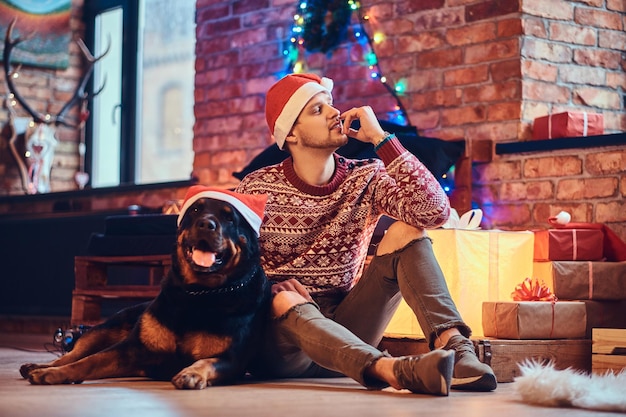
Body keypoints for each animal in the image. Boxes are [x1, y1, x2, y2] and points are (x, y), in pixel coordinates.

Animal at [18, 187, 268, 388]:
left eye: (230, 219)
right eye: (196, 210)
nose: (206, 223)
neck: (199, 293)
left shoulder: (231, 360)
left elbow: (207, 361)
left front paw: (192, 373)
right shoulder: (130, 348)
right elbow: (88, 361)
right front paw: (54, 373)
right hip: (102, 330)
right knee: (74, 354)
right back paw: (38, 366)